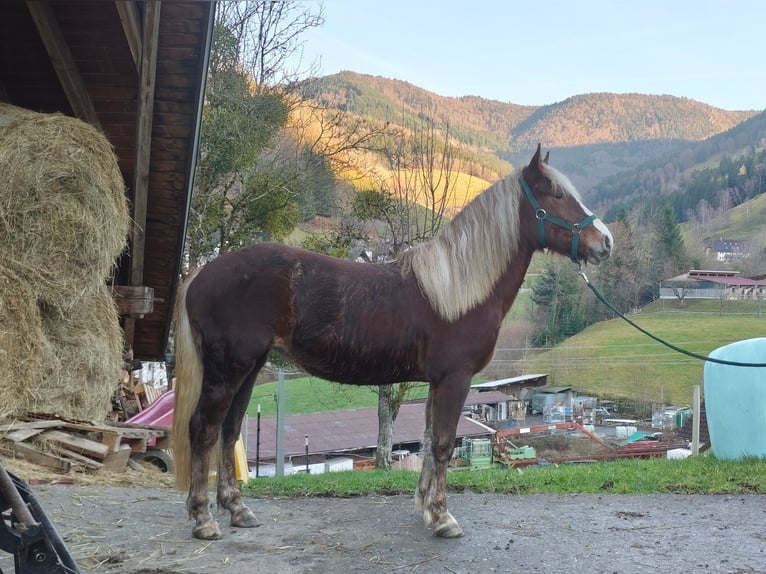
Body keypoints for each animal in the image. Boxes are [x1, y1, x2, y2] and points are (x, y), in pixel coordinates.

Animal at [172, 144, 613, 540]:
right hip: (228, 369)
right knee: (204, 429)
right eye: (557, 194)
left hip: (249, 367)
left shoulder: (438, 382)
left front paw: (426, 508)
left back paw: (237, 510)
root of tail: (203, 273)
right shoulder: (455, 379)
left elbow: (430, 440)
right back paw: (203, 519)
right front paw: (443, 518)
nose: (605, 241)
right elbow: (443, 445)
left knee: (229, 430)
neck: (455, 289)